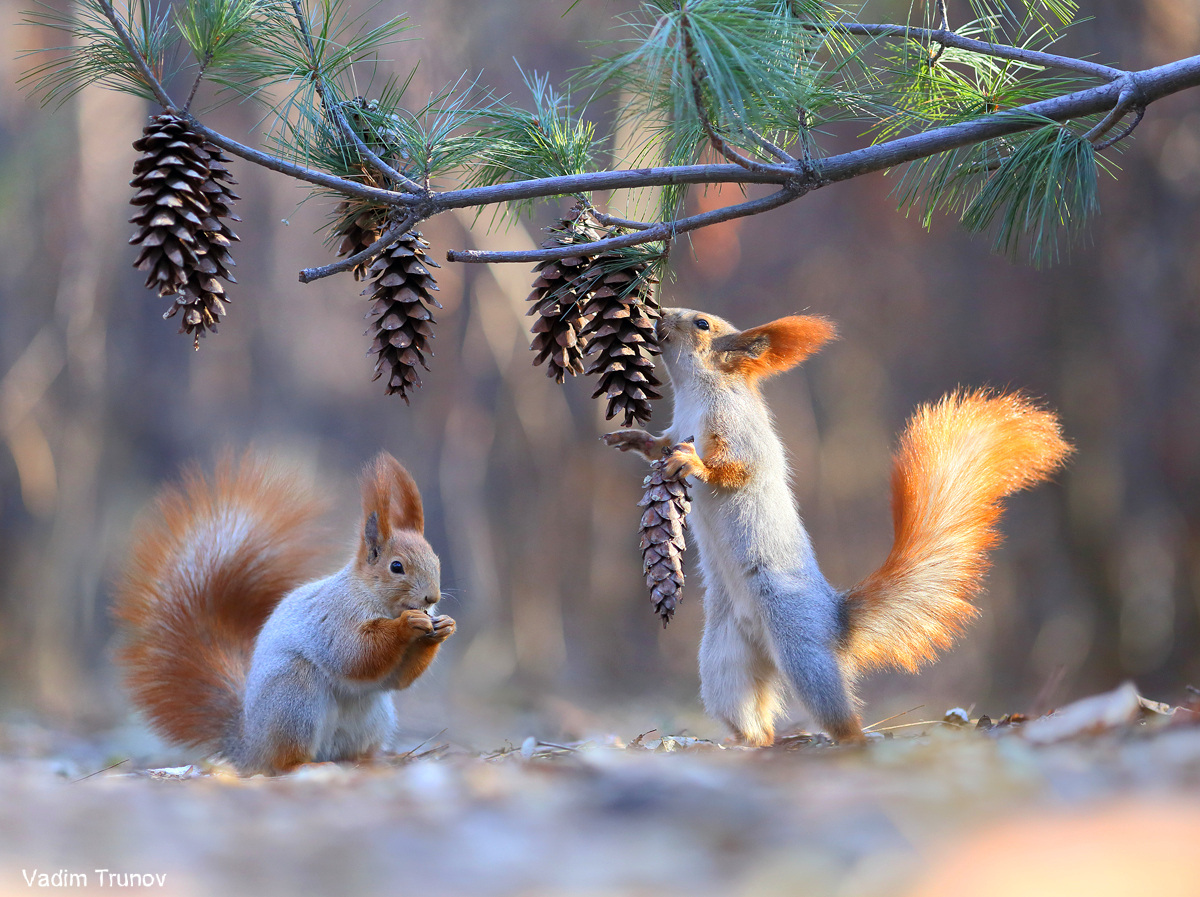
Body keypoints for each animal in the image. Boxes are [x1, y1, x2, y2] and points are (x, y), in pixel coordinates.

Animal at [112, 450, 455, 774]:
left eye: (435, 559)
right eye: (396, 567)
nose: (432, 597)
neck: (372, 596)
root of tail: (249, 743)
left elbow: (395, 680)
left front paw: (444, 627)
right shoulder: (333, 618)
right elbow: (354, 654)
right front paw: (407, 624)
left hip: (373, 717)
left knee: (351, 752)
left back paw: (374, 760)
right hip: (294, 700)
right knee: (283, 761)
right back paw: (305, 765)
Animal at [604, 308, 1071, 745]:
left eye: (701, 323)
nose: (658, 314)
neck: (695, 395)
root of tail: (833, 619)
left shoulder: (738, 432)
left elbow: (734, 470)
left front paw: (692, 463)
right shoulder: (676, 430)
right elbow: (660, 446)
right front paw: (633, 439)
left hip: (802, 650)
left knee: (838, 714)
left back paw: (851, 741)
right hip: (723, 659)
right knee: (750, 716)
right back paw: (749, 744)